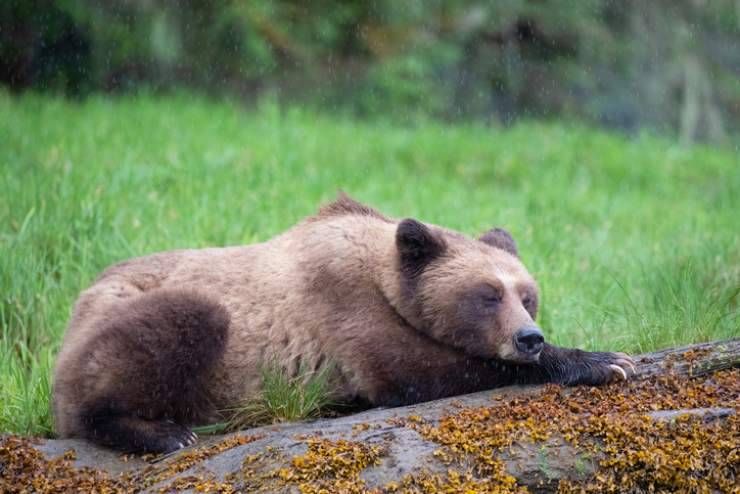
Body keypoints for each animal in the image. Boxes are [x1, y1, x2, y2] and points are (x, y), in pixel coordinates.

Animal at [52, 192, 632, 452]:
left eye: (527, 296)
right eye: (488, 295)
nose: (529, 337)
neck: (384, 275)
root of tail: (78, 304)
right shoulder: (342, 307)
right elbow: (413, 371)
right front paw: (603, 361)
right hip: (139, 314)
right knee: (179, 325)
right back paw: (165, 432)